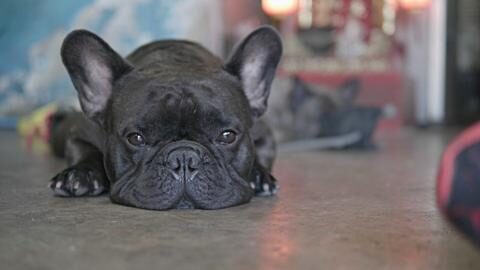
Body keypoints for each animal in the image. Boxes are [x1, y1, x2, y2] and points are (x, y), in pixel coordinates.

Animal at [48, 25, 282, 211]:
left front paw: (259, 176)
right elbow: (83, 150)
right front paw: (79, 174)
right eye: (135, 138)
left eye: (227, 136)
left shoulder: (265, 133)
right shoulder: (79, 131)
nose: (184, 158)